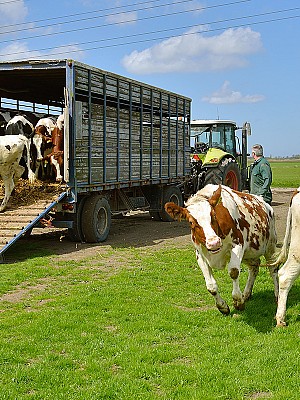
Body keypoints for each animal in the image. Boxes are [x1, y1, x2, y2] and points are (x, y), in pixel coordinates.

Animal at [165, 184, 278, 316]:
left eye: (214, 216)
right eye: (191, 222)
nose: (213, 243)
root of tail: (265, 204)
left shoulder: (237, 245)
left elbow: (234, 272)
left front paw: (238, 301)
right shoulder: (200, 255)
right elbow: (211, 286)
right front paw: (222, 306)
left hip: (270, 246)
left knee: (273, 269)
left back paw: (277, 295)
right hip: (249, 253)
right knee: (254, 267)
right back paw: (246, 294)